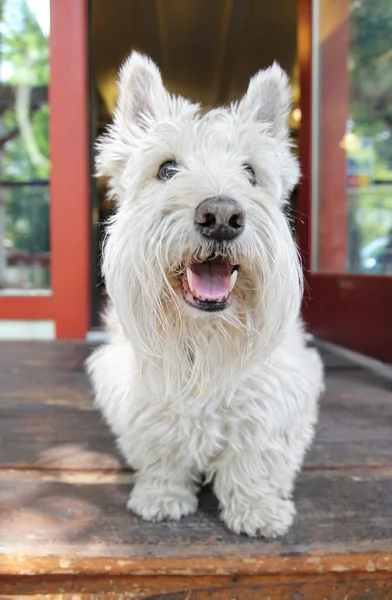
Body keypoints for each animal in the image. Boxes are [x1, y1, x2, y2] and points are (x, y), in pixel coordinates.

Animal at [89, 52, 324, 540]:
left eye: (251, 172)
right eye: (166, 168)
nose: (220, 216)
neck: (204, 334)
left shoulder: (276, 397)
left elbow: (255, 456)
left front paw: (257, 508)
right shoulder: (141, 394)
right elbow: (160, 447)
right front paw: (162, 495)